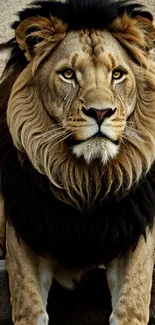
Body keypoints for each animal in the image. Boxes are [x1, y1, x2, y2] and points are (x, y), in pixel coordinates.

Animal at [0, 0, 155, 322]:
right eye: (68, 74)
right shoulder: (24, 232)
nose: (100, 112)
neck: (87, 179)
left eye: (117, 75)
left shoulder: (137, 230)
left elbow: (130, 306)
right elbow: (30, 306)